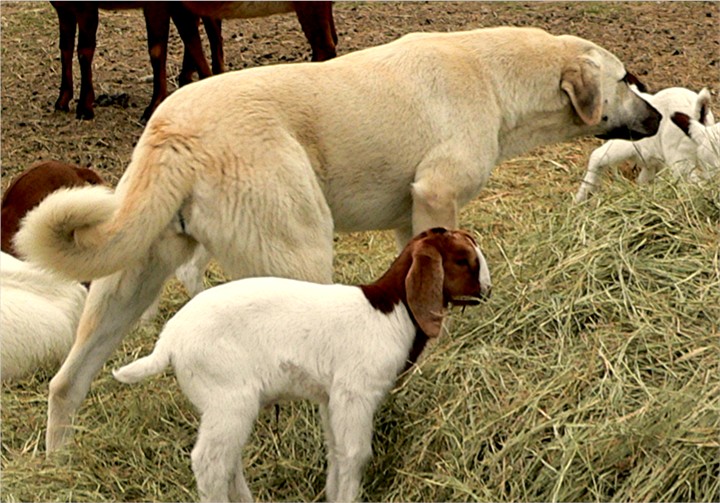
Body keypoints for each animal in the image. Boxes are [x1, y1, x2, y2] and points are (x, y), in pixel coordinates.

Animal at [572, 86, 716, 203]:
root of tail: (698, 113)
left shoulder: (626, 144)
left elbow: (597, 157)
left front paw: (579, 199)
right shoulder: (651, 161)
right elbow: (644, 178)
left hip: (678, 156)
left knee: (689, 180)